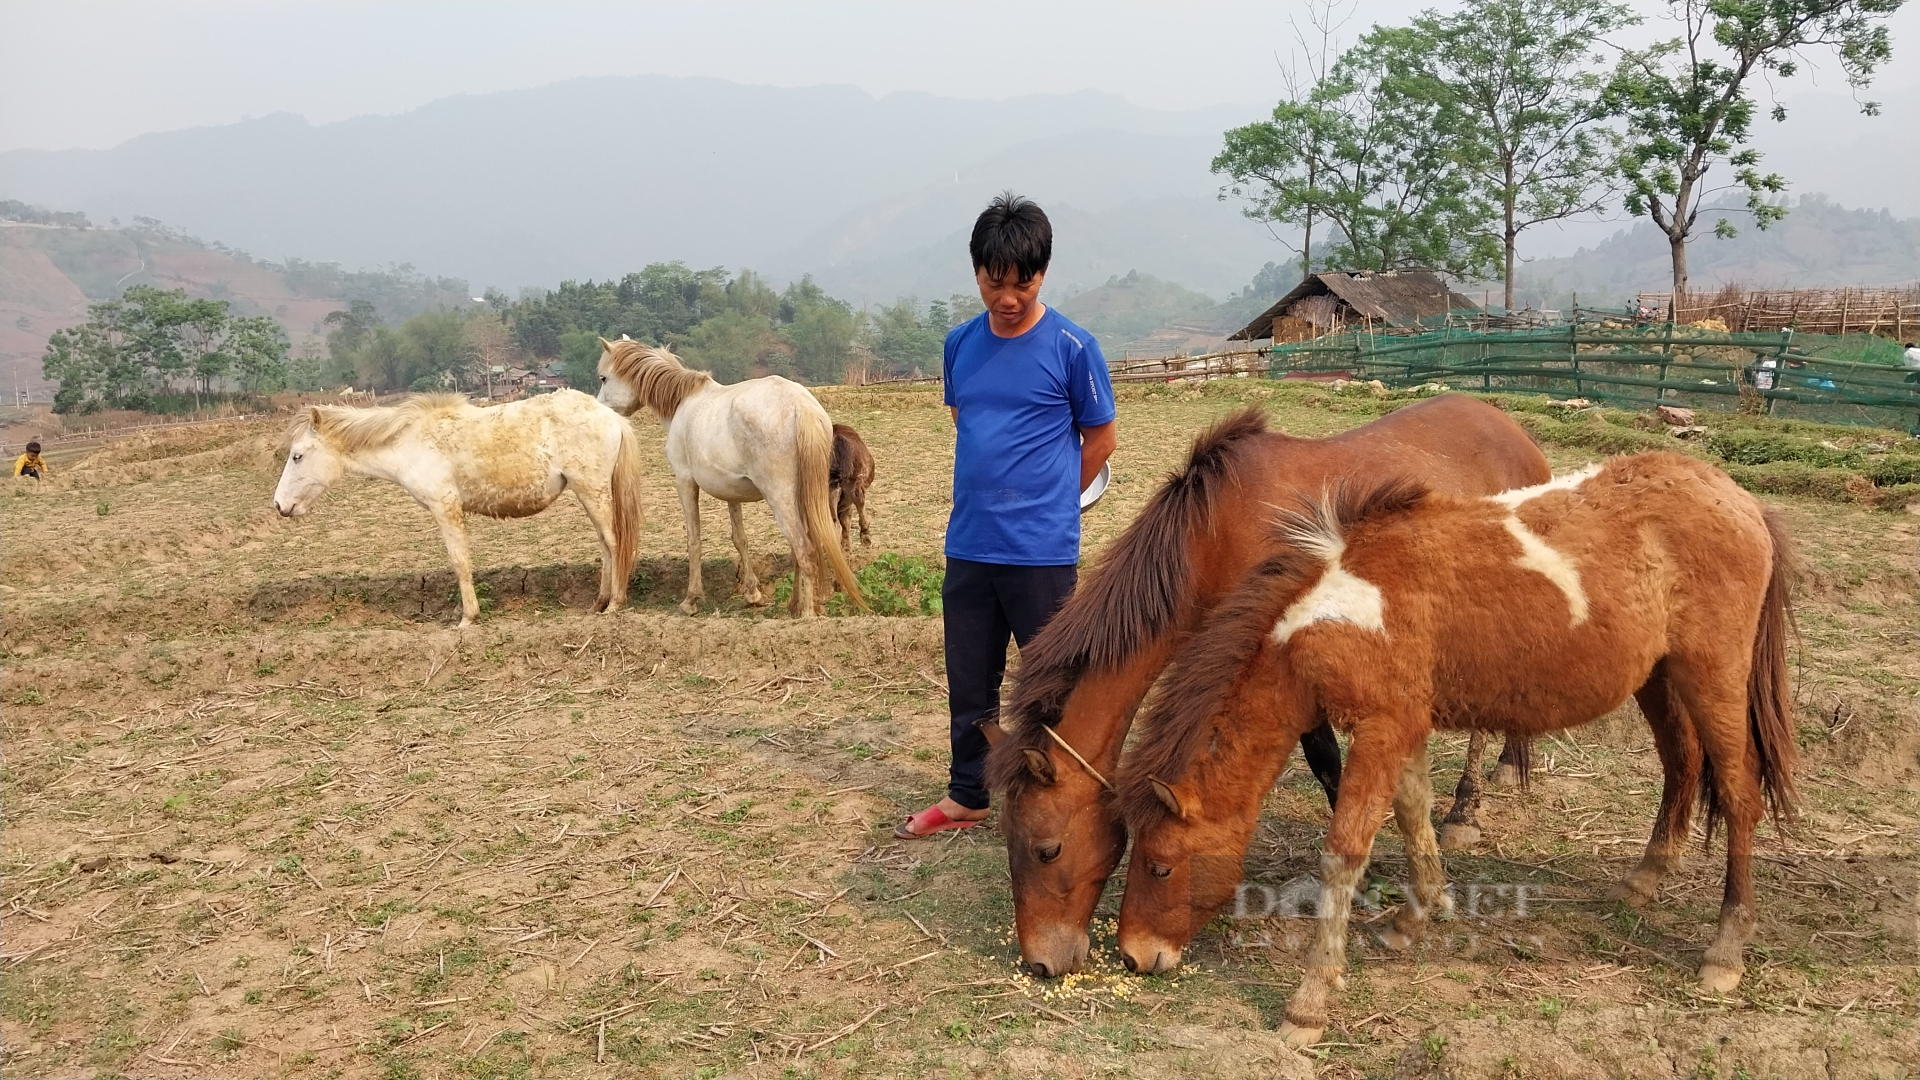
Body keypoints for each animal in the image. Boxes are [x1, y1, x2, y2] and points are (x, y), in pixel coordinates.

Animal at [272, 388, 645, 626]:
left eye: (297, 455)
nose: (279, 505)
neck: (410, 441)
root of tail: (612, 417)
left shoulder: (446, 509)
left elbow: (460, 562)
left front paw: (467, 618)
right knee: (605, 545)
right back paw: (599, 602)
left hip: (591, 490)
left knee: (614, 543)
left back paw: (615, 604)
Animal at [587, 340, 867, 618]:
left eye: (603, 378)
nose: (601, 412)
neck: (683, 401)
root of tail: (800, 406)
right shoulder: (732, 494)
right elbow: (739, 539)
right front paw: (753, 594)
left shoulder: (685, 482)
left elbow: (694, 540)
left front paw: (691, 600)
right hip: (808, 496)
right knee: (809, 545)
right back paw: (795, 605)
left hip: (781, 498)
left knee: (804, 548)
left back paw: (807, 612)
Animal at [983, 393, 1551, 976]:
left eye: (1047, 849)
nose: (1040, 962)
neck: (1216, 533)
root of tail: (1510, 428)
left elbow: (1326, 762)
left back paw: (1469, 804)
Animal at [1113, 449, 1797, 1037]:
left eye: (1160, 864)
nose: (1134, 957)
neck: (1337, 609)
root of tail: (1743, 502)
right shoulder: (1404, 726)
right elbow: (1413, 820)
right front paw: (1413, 919)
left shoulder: (1382, 729)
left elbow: (1345, 851)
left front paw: (1308, 1005)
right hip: (1659, 679)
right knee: (1681, 765)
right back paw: (1644, 880)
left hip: (1713, 678)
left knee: (1739, 795)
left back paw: (1724, 952)